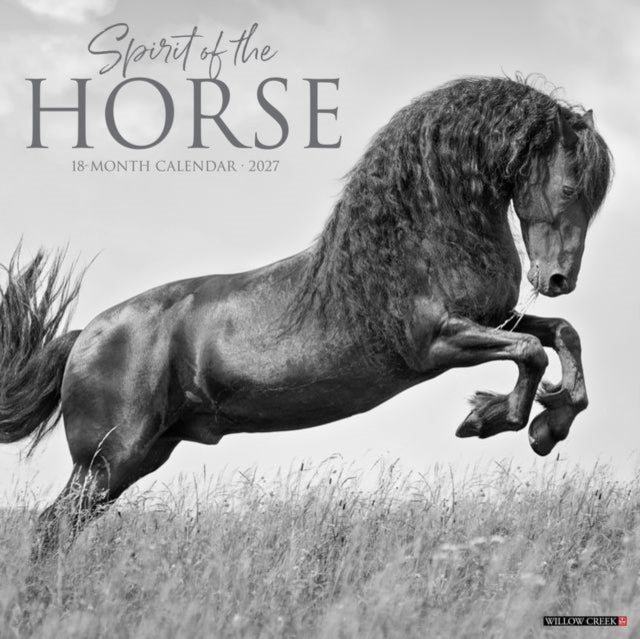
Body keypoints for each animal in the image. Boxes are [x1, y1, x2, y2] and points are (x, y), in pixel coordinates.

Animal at [0, 76, 611, 557]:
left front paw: (551, 420)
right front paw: (492, 419)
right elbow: (530, 353)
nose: (559, 281)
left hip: (142, 455)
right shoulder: (438, 343)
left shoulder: (493, 317)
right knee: (53, 526)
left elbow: (561, 335)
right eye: (567, 187)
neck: (414, 245)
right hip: (110, 460)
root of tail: (85, 336)